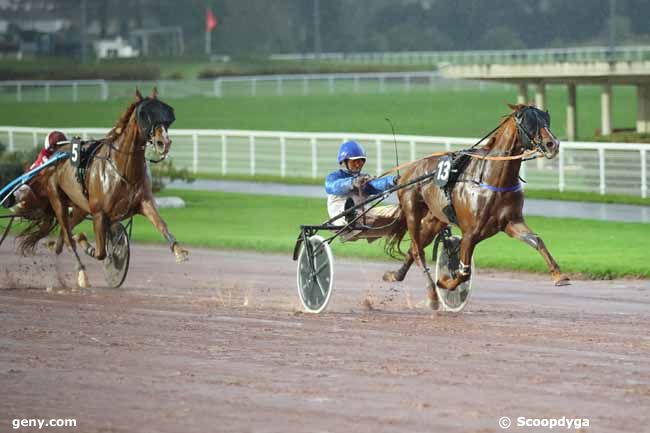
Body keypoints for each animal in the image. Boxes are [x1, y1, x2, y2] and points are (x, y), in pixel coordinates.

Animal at [19, 88, 186, 286]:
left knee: (64, 233)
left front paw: (179, 251)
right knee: (66, 231)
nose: (164, 143)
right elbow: (100, 252)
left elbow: (161, 224)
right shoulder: (99, 213)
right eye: (144, 114)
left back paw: (59, 251)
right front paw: (85, 243)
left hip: (80, 207)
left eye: (166, 114)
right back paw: (81, 271)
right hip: (58, 199)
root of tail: (55, 154)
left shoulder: (144, 202)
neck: (122, 169)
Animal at [382, 104, 568, 308]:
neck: (491, 178)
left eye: (546, 119)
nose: (553, 144)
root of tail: (410, 170)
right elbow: (464, 272)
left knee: (415, 248)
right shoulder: (471, 233)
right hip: (412, 211)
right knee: (417, 250)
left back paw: (396, 275)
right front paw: (444, 282)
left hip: (435, 219)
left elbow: (537, 240)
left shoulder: (511, 222)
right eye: (529, 121)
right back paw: (431, 293)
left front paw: (559, 275)